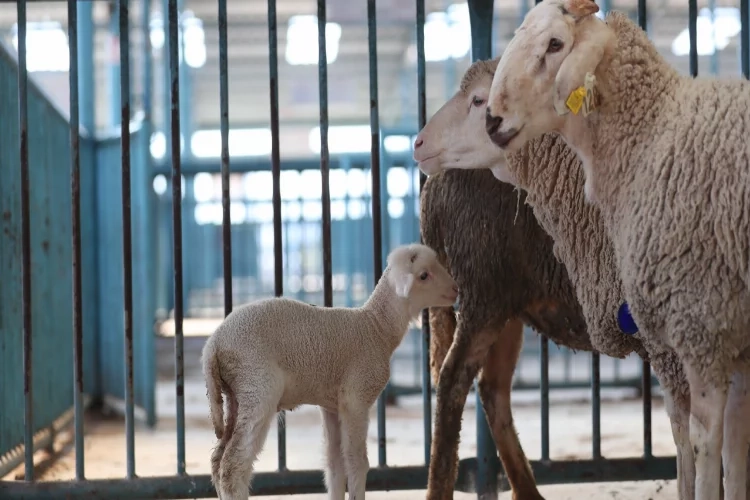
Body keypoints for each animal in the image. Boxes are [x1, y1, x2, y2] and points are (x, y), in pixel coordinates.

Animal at [201, 240, 458, 498]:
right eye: (424, 275)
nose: (455, 291)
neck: (376, 328)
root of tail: (213, 344)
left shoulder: (332, 406)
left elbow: (335, 464)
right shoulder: (356, 398)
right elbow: (357, 461)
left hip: (235, 396)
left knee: (217, 460)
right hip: (257, 387)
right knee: (233, 466)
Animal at [418, 56, 700, 498]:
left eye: (480, 100)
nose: (419, 143)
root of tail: (434, 183)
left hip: (508, 303)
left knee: (492, 389)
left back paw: (527, 489)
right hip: (482, 290)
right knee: (452, 381)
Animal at [484, 1, 750, 498]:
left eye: (555, 44)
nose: (491, 120)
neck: (650, 133)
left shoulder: (700, 323)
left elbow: (707, 444)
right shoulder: (736, 337)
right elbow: (736, 445)